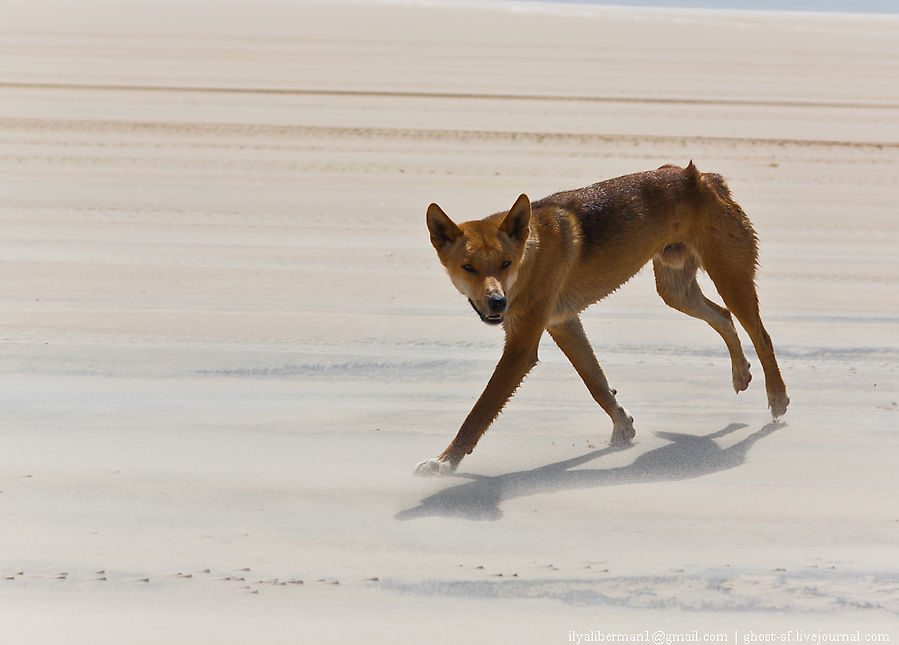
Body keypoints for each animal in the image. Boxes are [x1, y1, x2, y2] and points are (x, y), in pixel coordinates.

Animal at [414, 162, 788, 472]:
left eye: (505, 263)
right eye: (468, 267)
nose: (497, 302)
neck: (531, 253)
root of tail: (706, 177)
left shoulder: (521, 347)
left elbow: (479, 412)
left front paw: (445, 462)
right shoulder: (563, 323)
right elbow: (596, 383)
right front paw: (623, 426)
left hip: (729, 277)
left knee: (761, 335)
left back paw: (777, 398)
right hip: (676, 291)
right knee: (723, 317)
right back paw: (740, 372)